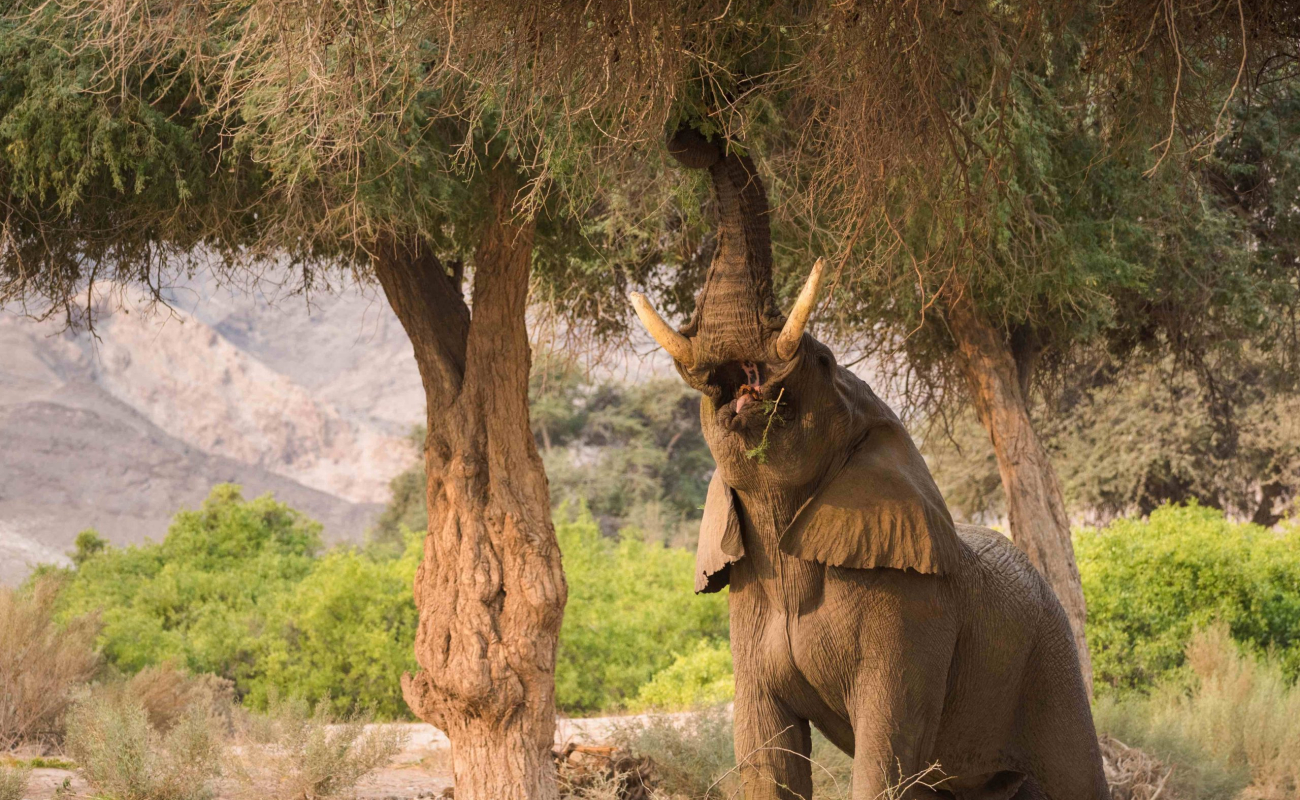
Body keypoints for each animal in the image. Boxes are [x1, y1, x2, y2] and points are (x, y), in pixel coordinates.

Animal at [628, 129, 1109, 800]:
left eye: (823, 360)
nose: (691, 137)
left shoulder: (910, 611)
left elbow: (885, 748)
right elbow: (766, 753)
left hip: (1052, 659)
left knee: (1074, 774)